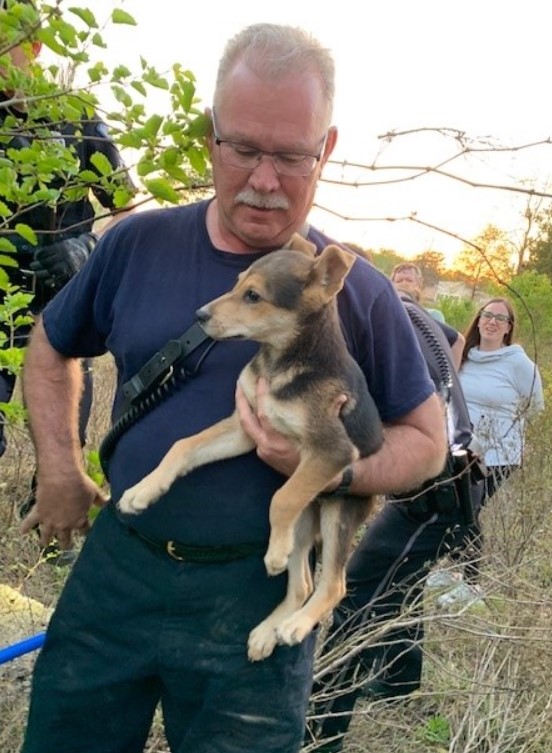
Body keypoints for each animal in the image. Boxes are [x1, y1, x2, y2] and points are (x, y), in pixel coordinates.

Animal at [118, 234, 382, 656]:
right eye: (237, 282)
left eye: (254, 296)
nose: (200, 315)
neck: (281, 363)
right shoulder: (245, 427)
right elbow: (183, 445)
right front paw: (144, 491)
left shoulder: (332, 451)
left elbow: (282, 499)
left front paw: (272, 555)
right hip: (307, 520)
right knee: (303, 583)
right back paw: (268, 632)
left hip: (337, 511)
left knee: (333, 584)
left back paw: (295, 624)